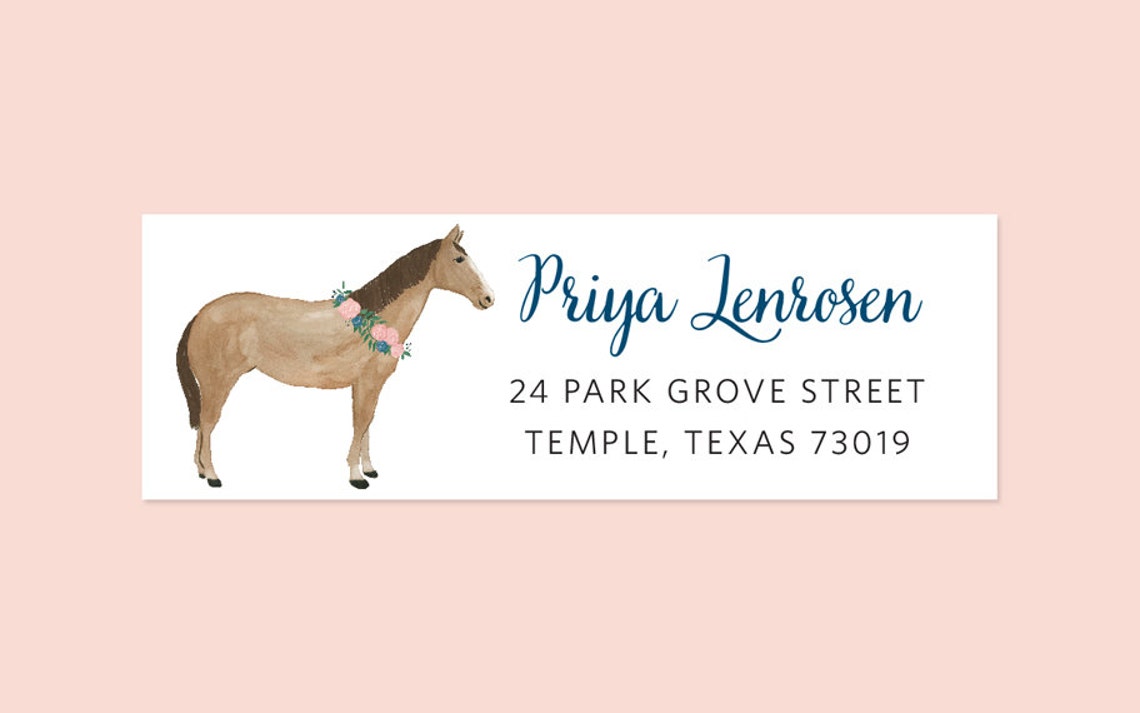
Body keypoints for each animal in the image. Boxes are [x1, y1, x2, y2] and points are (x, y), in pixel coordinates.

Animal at [175, 225, 494, 489]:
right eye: (458, 259)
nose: (489, 298)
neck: (373, 320)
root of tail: (201, 315)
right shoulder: (366, 383)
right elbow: (360, 423)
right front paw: (356, 477)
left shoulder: (369, 385)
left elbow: (368, 423)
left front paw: (369, 469)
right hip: (218, 383)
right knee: (208, 423)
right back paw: (212, 476)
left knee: (202, 425)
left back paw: (201, 471)